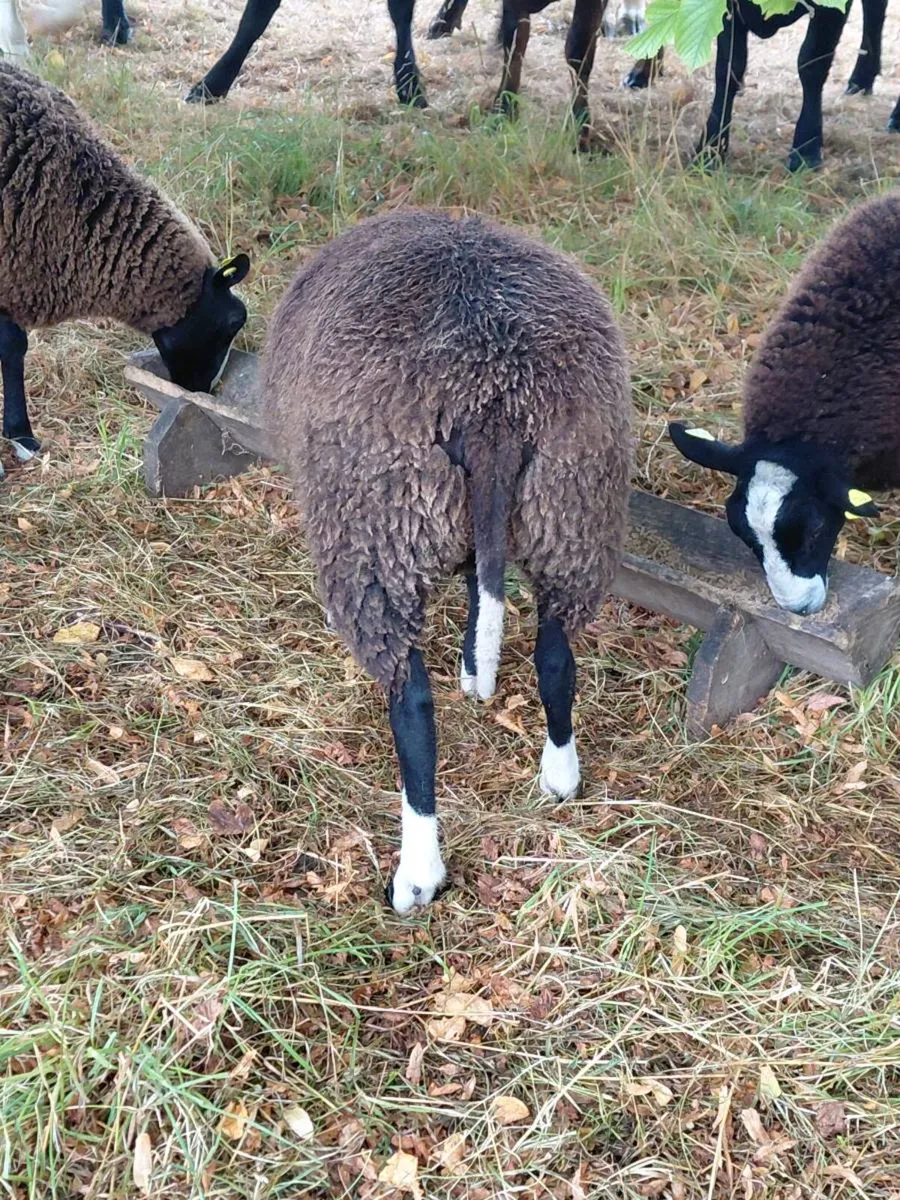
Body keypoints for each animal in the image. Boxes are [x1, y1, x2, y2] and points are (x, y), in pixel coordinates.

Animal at [261, 209, 633, 914]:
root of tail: (496, 403)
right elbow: (476, 590)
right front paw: (472, 665)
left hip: (375, 534)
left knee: (411, 706)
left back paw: (417, 871)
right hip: (572, 516)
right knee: (555, 656)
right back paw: (560, 774)